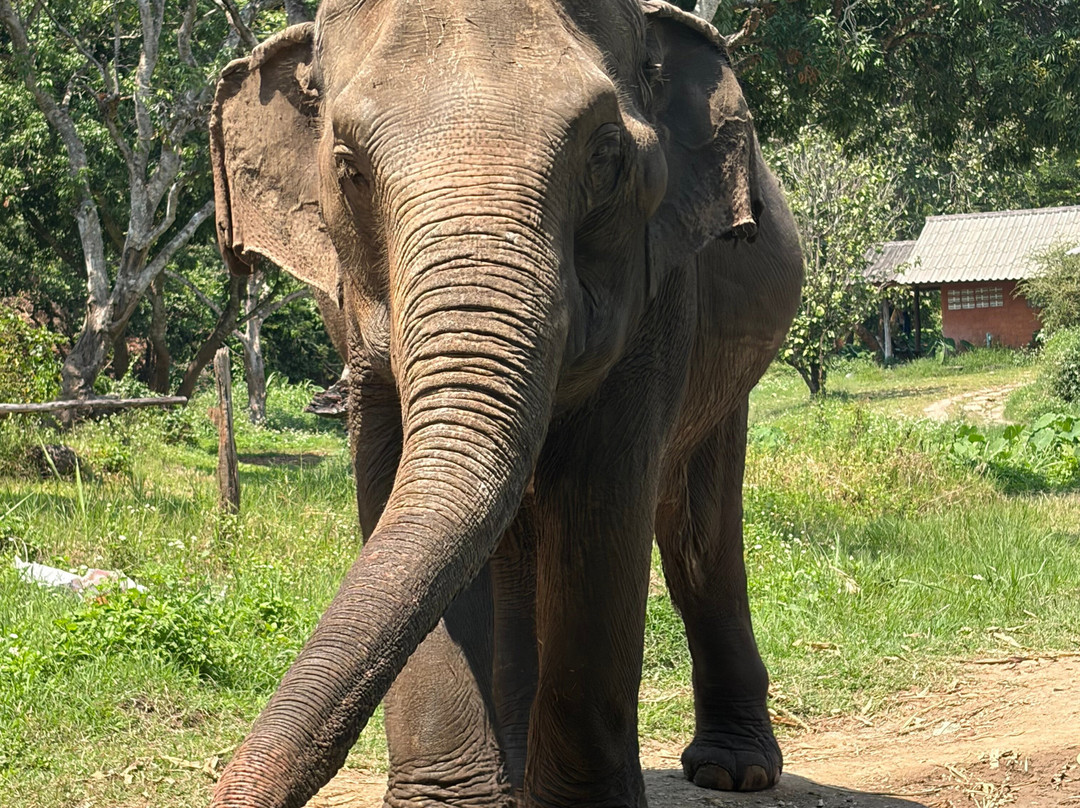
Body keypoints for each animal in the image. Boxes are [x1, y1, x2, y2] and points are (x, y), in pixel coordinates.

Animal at [207, 1, 803, 806]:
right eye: (349, 168)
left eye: (605, 155)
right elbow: (388, 479)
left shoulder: (661, 289)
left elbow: (605, 494)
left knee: (696, 529)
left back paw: (732, 770)